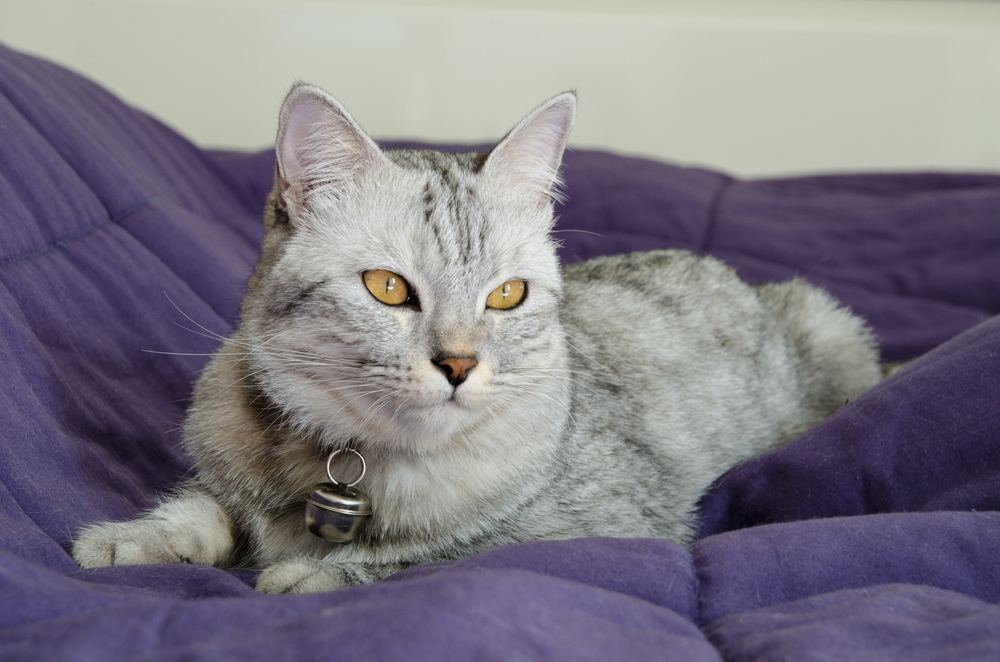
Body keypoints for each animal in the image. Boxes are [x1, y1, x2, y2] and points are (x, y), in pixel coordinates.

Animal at [72, 84, 884, 596]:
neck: (349, 462)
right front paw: (132, 539)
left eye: (506, 295)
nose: (459, 364)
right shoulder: (221, 473)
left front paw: (322, 570)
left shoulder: (608, 528)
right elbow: (201, 508)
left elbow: (450, 548)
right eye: (388, 288)